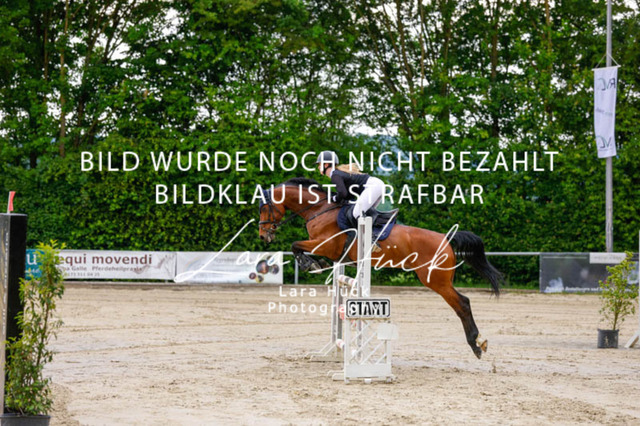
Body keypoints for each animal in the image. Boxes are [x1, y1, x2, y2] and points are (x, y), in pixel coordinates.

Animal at [258, 177, 503, 359]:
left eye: (264, 209)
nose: (263, 235)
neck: (320, 211)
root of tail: (446, 238)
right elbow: (299, 247)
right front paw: (317, 264)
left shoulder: (325, 244)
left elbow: (295, 245)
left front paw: (312, 265)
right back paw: (478, 343)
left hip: (435, 280)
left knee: (462, 303)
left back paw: (476, 344)